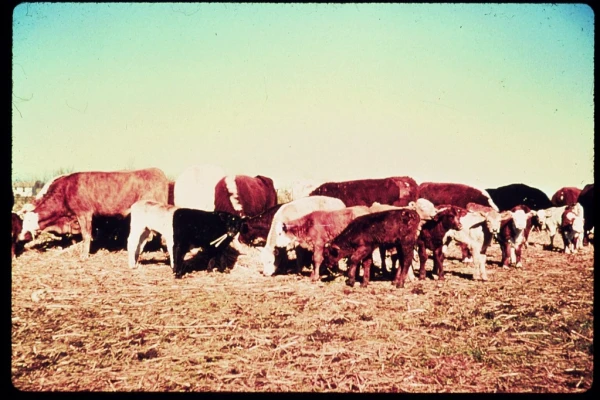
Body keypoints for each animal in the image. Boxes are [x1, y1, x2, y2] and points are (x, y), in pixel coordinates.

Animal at [19, 168, 169, 256]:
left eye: (26, 225)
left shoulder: (84, 214)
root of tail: (156, 171)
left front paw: (84, 255)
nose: (19, 238)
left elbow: (86, 236)